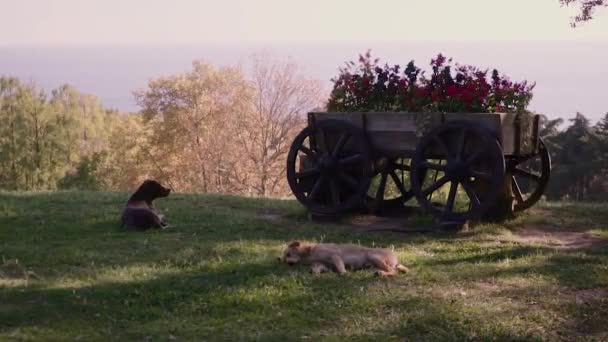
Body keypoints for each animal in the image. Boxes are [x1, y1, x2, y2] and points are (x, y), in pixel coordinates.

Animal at [280, 242, 408, 276]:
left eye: (288, 254)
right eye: (284, 259)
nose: (287, 264)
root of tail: (397, 260)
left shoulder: (335, 256)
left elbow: (340, 267)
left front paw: (343, 273)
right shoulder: (320, 264)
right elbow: (317, 269)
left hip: (373, 256)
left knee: (393, 271)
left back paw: (382, 273)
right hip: (372, 264)